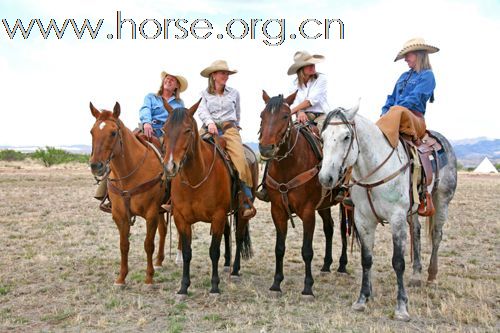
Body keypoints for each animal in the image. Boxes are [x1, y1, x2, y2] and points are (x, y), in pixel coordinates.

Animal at [90, 102, 168, 286]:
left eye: (113, 132)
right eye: (92, 132)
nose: (96, 166)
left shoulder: (151, 214)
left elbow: (148, 244)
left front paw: (149, 278)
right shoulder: (120, 216)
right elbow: (124, 245)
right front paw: (121, 278)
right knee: (163, 231)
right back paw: (159, 261)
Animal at [162, 98, 258, 296]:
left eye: (187, 130)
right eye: (165, 130)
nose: (170, 166)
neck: (196, 178)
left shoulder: (217, 216)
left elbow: (214, 251)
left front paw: (214, 286)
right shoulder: (181, 219)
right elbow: (187, 252)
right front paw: (183, 287)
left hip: (241, 211)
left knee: (238, 236)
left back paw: (235, 270)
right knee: (228, 233)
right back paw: (227, 264)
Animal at [260, 91, 350, 298]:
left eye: (285, 116)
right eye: (262, 115)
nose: (266, 148)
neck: (289, 166)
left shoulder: (308, 212)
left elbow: (307, 250)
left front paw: (308, 287)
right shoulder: (277, 211)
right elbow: (279, 248)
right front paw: (276, 283)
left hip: (347, 203)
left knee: (343, 229)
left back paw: (342, 265)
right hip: (324, 205)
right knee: (329, 228)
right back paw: (326, 265)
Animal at [320, 102, 458, 320]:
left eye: (346, 136)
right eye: (323, 137)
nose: (326, 178)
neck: (375, 171)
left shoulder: (397, 218)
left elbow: (398, 262)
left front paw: (401, 307)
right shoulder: (363, 220)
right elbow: (366, 260)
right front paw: (362, 299)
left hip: (442, 200)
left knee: (437, 235)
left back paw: (432, 275)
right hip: (413, 211)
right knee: (417, 232)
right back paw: (416, 275)